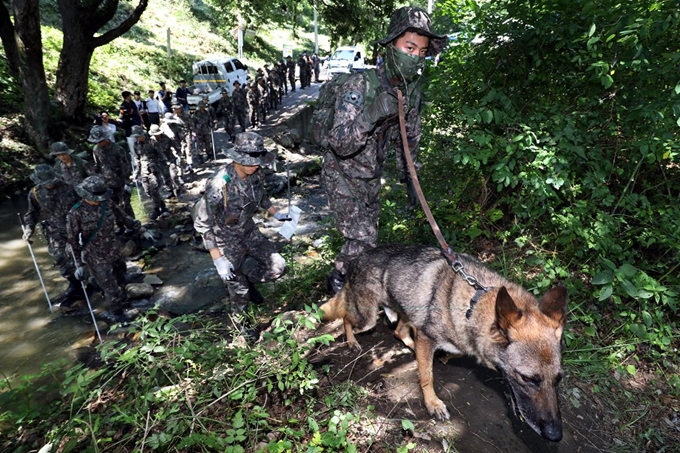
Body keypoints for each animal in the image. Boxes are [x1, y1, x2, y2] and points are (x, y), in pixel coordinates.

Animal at [322, 244, 564, 442]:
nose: (555, 435)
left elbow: (451, 352)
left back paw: (412, 346)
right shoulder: (428, 337)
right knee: (346, 318)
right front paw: (433, 404)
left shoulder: (450, 339)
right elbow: (426, 376)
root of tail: (356, 258)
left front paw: (444, 356)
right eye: (527, 378)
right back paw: (352, 342)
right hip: (367, 319)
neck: (473, 301)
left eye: (558, 379)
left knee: (399, 331)